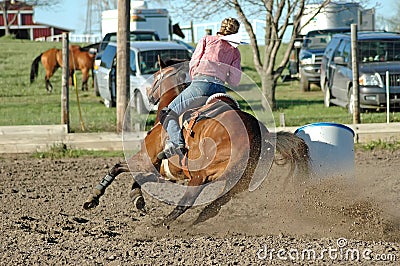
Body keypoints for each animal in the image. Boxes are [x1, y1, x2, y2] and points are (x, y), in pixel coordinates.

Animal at [83, 60, 310, 227]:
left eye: (156, 77)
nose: (148, 95)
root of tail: (259, 133)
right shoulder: (161, 171)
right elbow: (138, 180)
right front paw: (137, 198)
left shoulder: (146, 159)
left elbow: (118, 167)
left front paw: (93, 198)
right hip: (235, 183)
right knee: (212, 208)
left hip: (201, 175)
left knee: (187, 203)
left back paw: (161, 225)